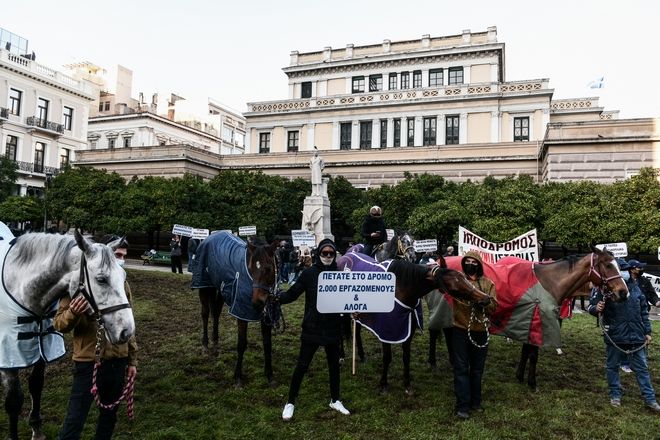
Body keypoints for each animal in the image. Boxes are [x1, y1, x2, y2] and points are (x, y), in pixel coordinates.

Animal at [0, 227, 135, 440]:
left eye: (123, 277)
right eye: (101, 279)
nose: (127, 331)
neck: (21, 285)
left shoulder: (42, 346)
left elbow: (36, 385)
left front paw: (37, 429)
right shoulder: (8, 355)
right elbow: (14, 401)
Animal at [189, 232, 278, 386]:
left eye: (268, 269)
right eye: (251, 268)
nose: (257, 302)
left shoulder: (266, 317)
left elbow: (267, 344)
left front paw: (270, 376)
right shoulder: (241, 313)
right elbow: (242, 343)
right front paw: (238, 377)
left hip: (221, 289)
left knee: (216, 312)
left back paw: (216, 344)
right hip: (205, 286)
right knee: (205, 313)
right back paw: (205, 345)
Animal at [338, 253, 492, 394]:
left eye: (463, 277)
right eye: (454, 287)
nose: (486, 298)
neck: (400, 289)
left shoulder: (408, 329)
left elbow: (406, 357)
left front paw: (407, 384)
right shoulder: (386, 332)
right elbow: (387, 358)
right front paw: (383, 384)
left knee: (357, 331)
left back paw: (362, 356)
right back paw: (341, 357)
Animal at [444, 249, 624, 390]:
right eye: (608, 265)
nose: (623, 291)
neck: (549, 283)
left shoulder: (528, 322)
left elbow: (526, 351)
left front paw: (520, 376)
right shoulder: (538, 322)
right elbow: (533, 355)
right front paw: (532, 382)